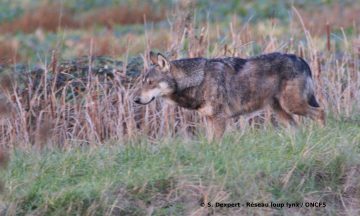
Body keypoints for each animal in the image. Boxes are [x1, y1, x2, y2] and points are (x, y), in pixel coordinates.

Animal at [134, 51, 324, 141]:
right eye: (143, 82)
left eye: (150, 82)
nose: (135, 100)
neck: (199, 80)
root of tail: (300, 59)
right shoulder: (209, 119)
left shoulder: (219, 119)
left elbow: (216, 144)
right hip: (281, 111)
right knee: (296, 126)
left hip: (292, 105)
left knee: (321, 112)